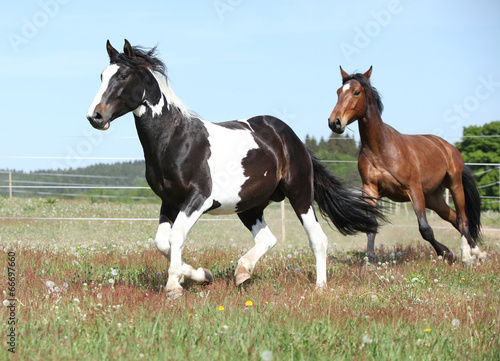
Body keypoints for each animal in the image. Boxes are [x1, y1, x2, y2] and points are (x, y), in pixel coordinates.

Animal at [87, 39, 378, 298]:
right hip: (249, 205)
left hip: (300, 194)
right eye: (101, 75)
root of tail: (292, 139)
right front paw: (200, 275)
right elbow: (162, 242)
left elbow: (176, 237)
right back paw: (242, 272)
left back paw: (319, 288)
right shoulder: (169, 202)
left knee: (317, 239)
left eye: (123, 75)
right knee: (267, 239)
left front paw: (174, 287)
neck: (175, 139)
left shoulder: (198, 198)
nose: (95, 116)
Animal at [326, 67, 486, 264]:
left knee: (463, 219)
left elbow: (425, 229)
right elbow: (372, 225)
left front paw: (447, 252)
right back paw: (478, 252)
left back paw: (467, 256)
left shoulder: (414, 190)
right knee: (454, 218)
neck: (381, 149)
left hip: (455, 185)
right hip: (434, 199)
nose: (334, 122)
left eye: (356, 92)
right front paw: (370, 260)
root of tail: (448, 147)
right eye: (338, 92)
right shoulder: (370, 189)